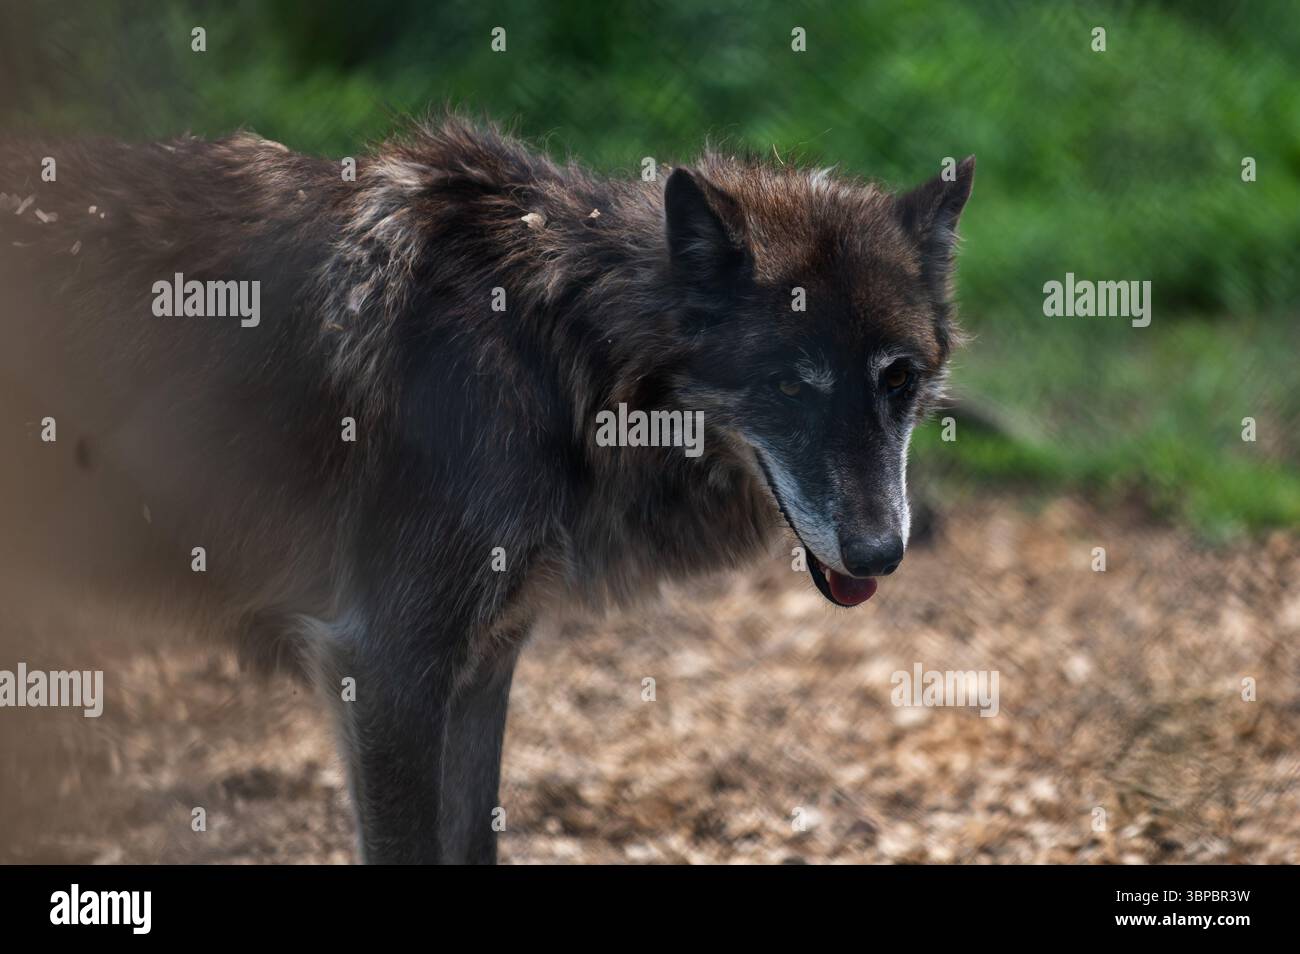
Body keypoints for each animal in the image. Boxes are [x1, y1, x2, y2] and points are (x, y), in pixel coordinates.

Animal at [0, 117, 973, 863]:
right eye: (791, 386)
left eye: (897, 380)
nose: (881, 552)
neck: (560, 353)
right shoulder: (384, 667)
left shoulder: (483, 665)